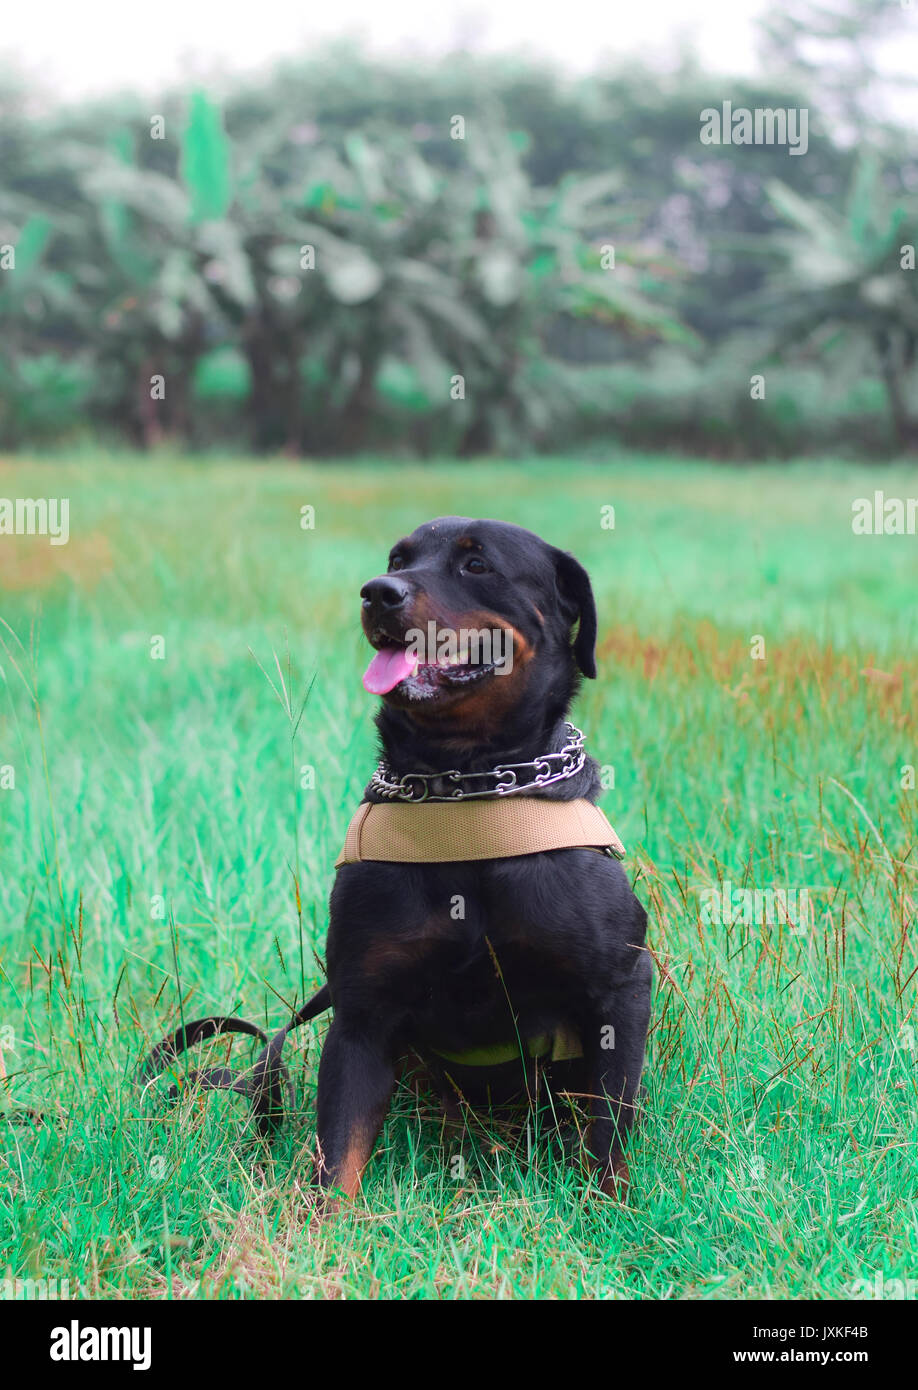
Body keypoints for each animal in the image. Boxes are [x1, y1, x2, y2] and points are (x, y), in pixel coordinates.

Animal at [315, 517, 653, 1200]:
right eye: (397, 559)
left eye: (477, 565)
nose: (378, 591)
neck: (467, 790)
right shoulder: (360, 1011)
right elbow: (339, 1155)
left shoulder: (623, 986)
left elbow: (608, 1125)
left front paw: (610, 1208)